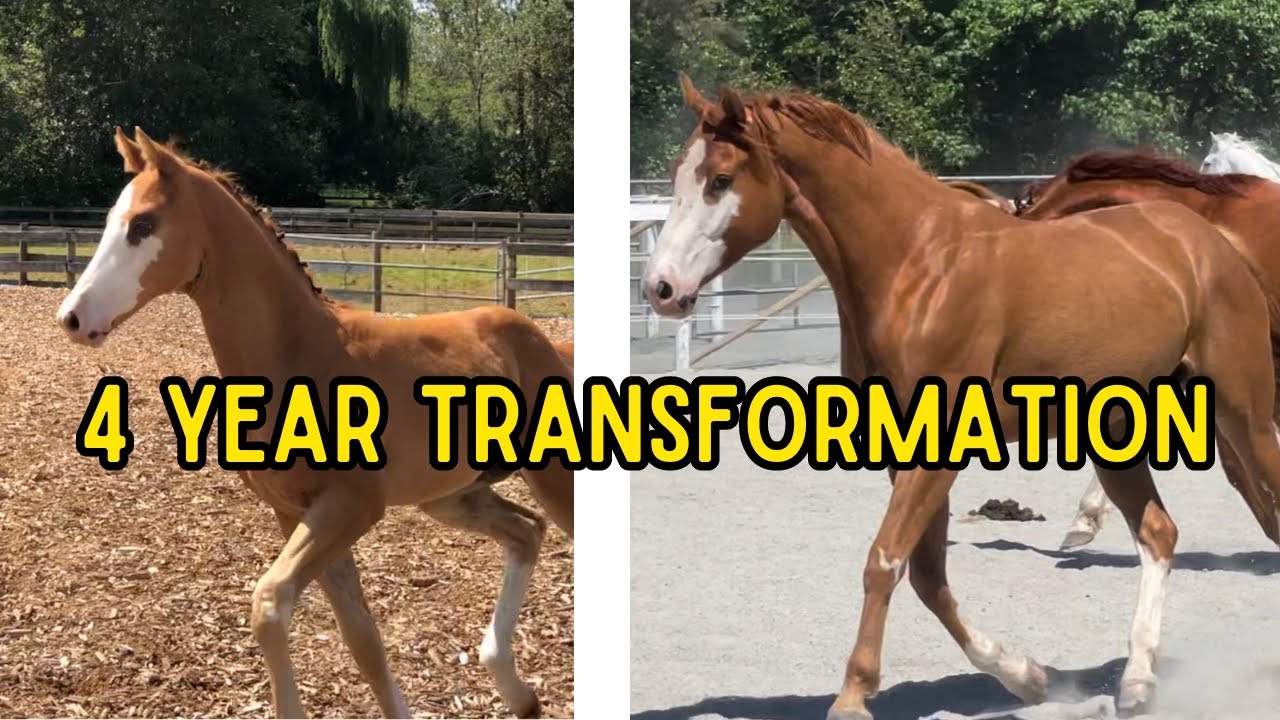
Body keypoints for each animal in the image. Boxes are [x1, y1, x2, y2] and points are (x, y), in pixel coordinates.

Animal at [56, 128, 573, 719]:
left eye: (143, 224)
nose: (73, 317)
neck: (297, 356)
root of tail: (546, 343)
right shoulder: (296, 513)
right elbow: (362, 639)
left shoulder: (351, 506)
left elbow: (269, 605)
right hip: (451, 496)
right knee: (527, 532)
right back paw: (518, 691)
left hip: (552, 477)